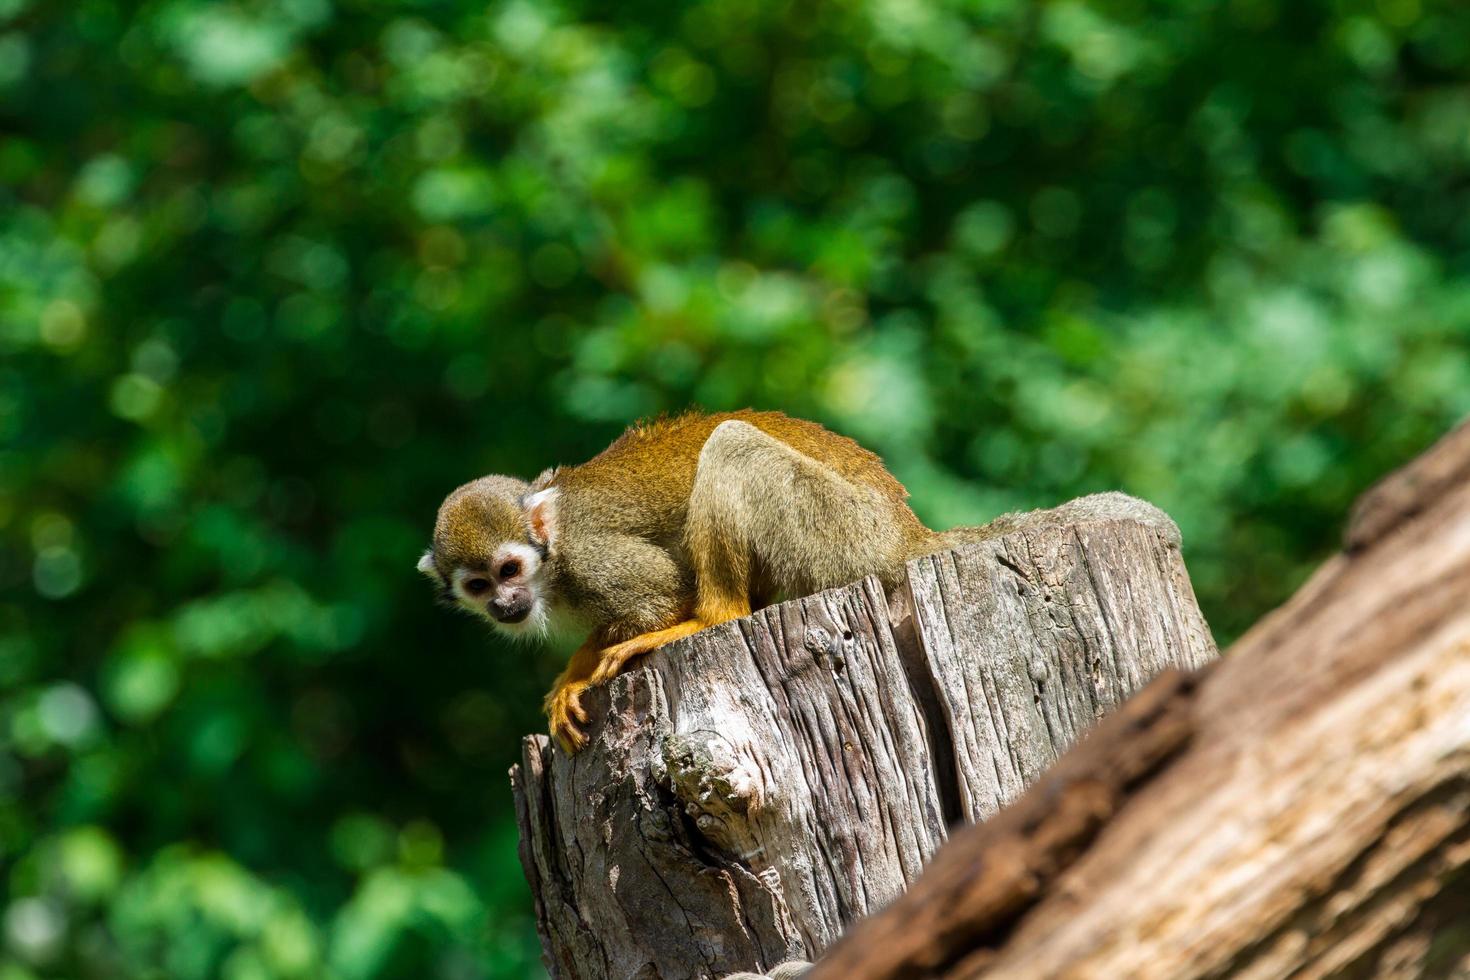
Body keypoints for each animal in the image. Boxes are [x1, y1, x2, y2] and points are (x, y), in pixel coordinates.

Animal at [423, 408, 952, 752]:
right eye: (478, 586)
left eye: (509, 570)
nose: (504, 603)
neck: (550, 568)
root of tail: (907, 532)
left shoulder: (591, 558)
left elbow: (664, 594)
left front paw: (578, 670)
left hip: (844, 528)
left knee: (731, 444)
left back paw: (711, 618)